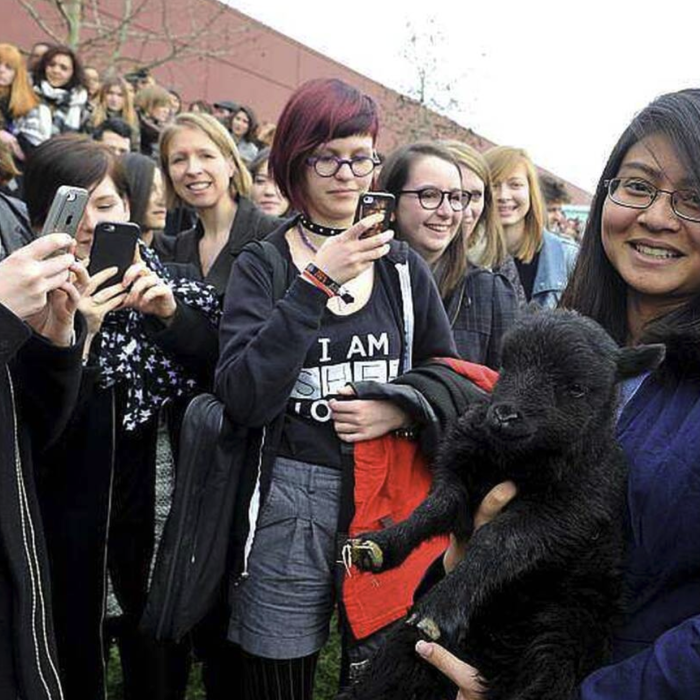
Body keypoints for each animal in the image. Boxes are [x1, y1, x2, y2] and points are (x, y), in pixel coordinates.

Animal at [348, 310, 664, 700]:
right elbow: (434, 507)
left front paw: (440, 607)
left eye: (576, 388)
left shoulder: (569, 510)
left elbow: (498, 539)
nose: (504, 415)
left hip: (567, 629)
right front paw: (380, 545)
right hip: (403, 655)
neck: (512, 462)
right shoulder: (462, 476)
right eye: (506, 364)